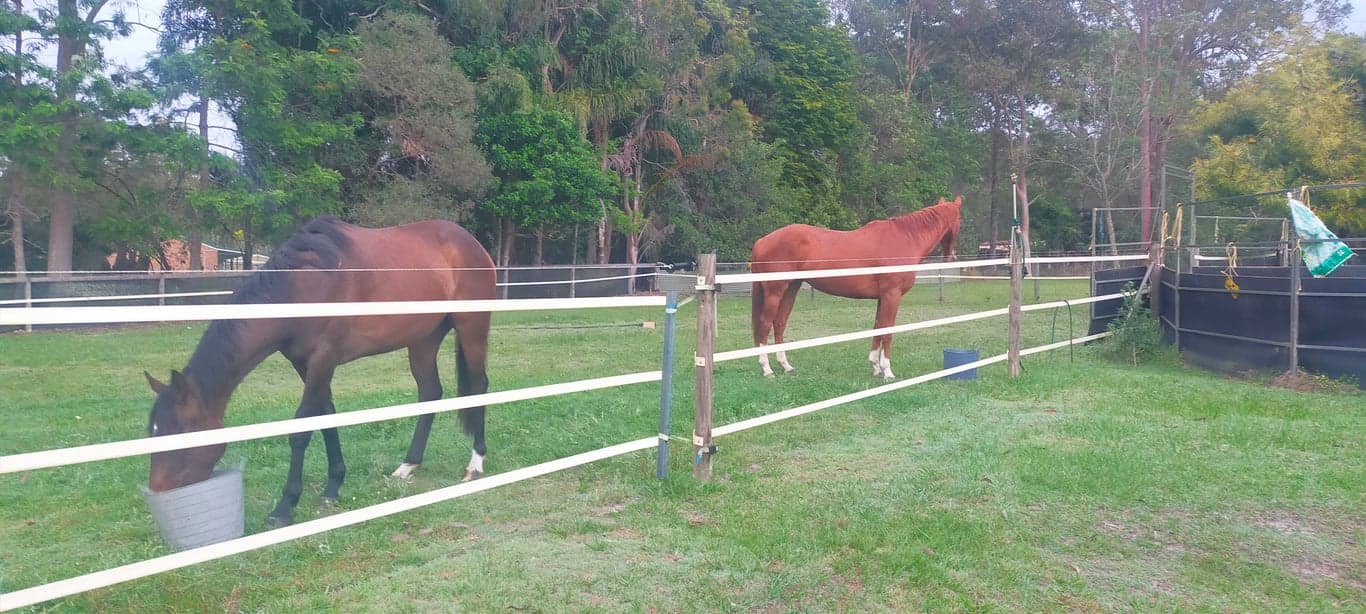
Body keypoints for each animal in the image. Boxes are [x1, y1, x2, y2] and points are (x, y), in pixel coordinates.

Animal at [143, 216, 495, 528]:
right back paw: (408, 466)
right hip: (423, 340)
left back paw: (476, 463)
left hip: (472, 328)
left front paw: (285, 506)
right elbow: (326, 419)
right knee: (430, 393)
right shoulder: (306, 365)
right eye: (154, 431)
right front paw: (332, 487)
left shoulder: (324, 359)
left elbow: (302, 429)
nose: (159, 490)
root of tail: (471, 242)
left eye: (180, 435)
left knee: (479, 385)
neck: (302, 285)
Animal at [750, 195, 962, 381]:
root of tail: (761, 241)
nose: (950, 255)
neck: (905, 239)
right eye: (960, 220)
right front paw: (887, 372)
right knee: (765, 324)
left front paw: (875, 367)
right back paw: (767, 369)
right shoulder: (892, 295)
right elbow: (887, 332)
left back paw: (786, 366)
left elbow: (878, 328)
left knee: (779, 323)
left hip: (791, 288)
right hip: (775, 291)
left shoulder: (882, 298)